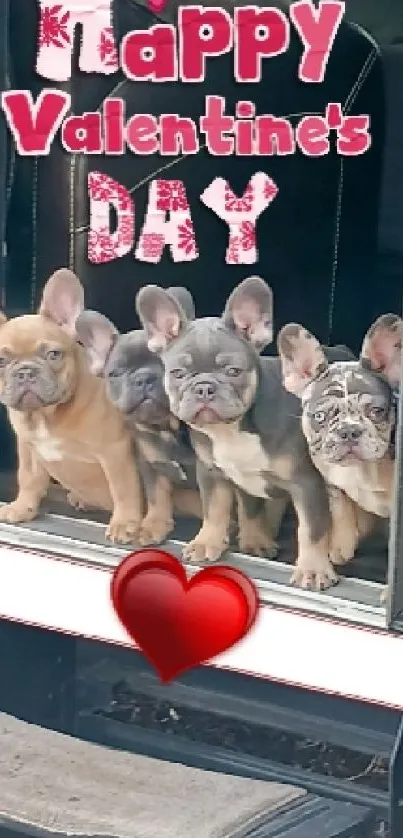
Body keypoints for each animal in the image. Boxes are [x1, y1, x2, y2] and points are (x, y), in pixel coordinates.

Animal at [0, 270, 144, 544]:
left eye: (53, 355)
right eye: (1, 361)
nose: (25, 372)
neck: (46, 415)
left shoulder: (115, 451)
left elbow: (123, 488)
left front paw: (124, 523)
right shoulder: (28, 447)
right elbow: (28, 478)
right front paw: (22, 507)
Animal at [137, 276, 358, 592]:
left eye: (233, 371)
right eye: (178, 373)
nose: (204, 387)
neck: (233, 428)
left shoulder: (306, 483)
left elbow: (311, 529)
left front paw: (313, 569)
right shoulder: (213, 472)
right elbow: (218, 508)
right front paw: (209, 541)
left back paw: (341, 541)